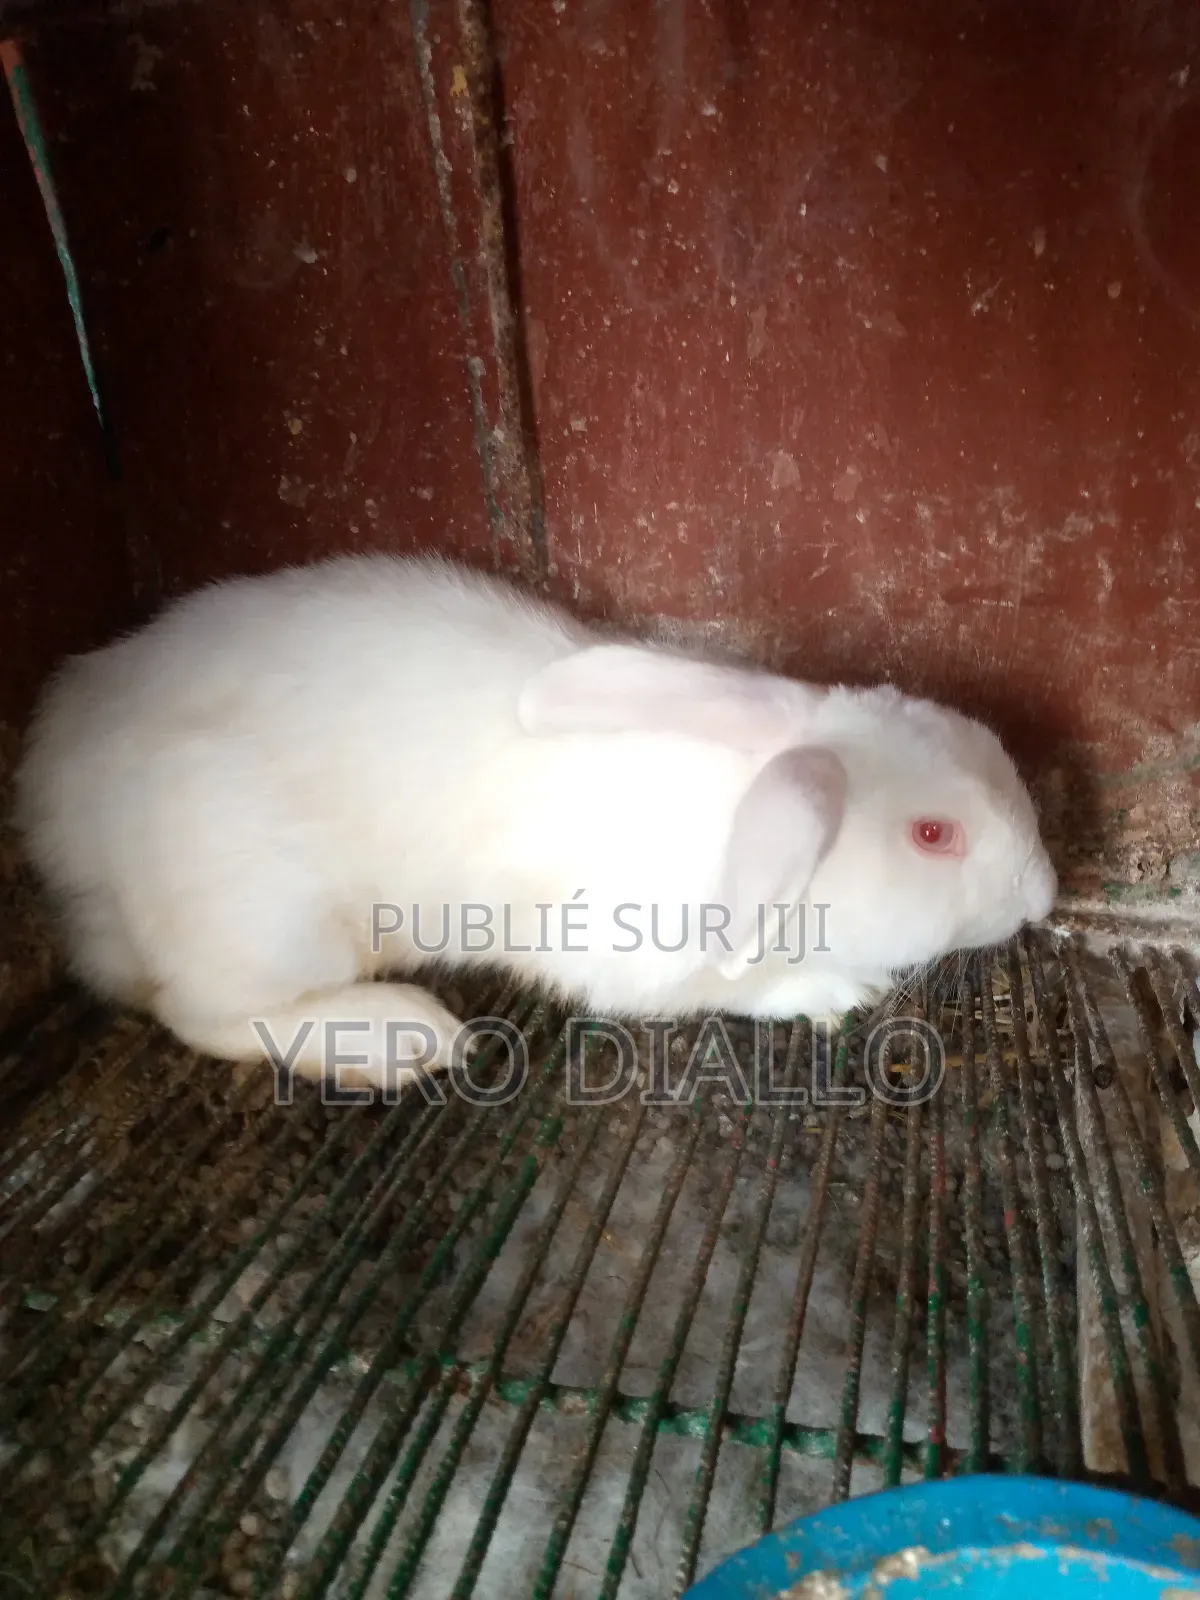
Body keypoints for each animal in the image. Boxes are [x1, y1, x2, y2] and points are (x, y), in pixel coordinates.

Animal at [14, 552, 1057, 1090]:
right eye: (934, 836)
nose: (1043, 895)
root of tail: (52, 788)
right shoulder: (629, 953)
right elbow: (734, 989)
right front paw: (835, 989)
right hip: (265, 912)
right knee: (201, 1013)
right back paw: (402, 1040)